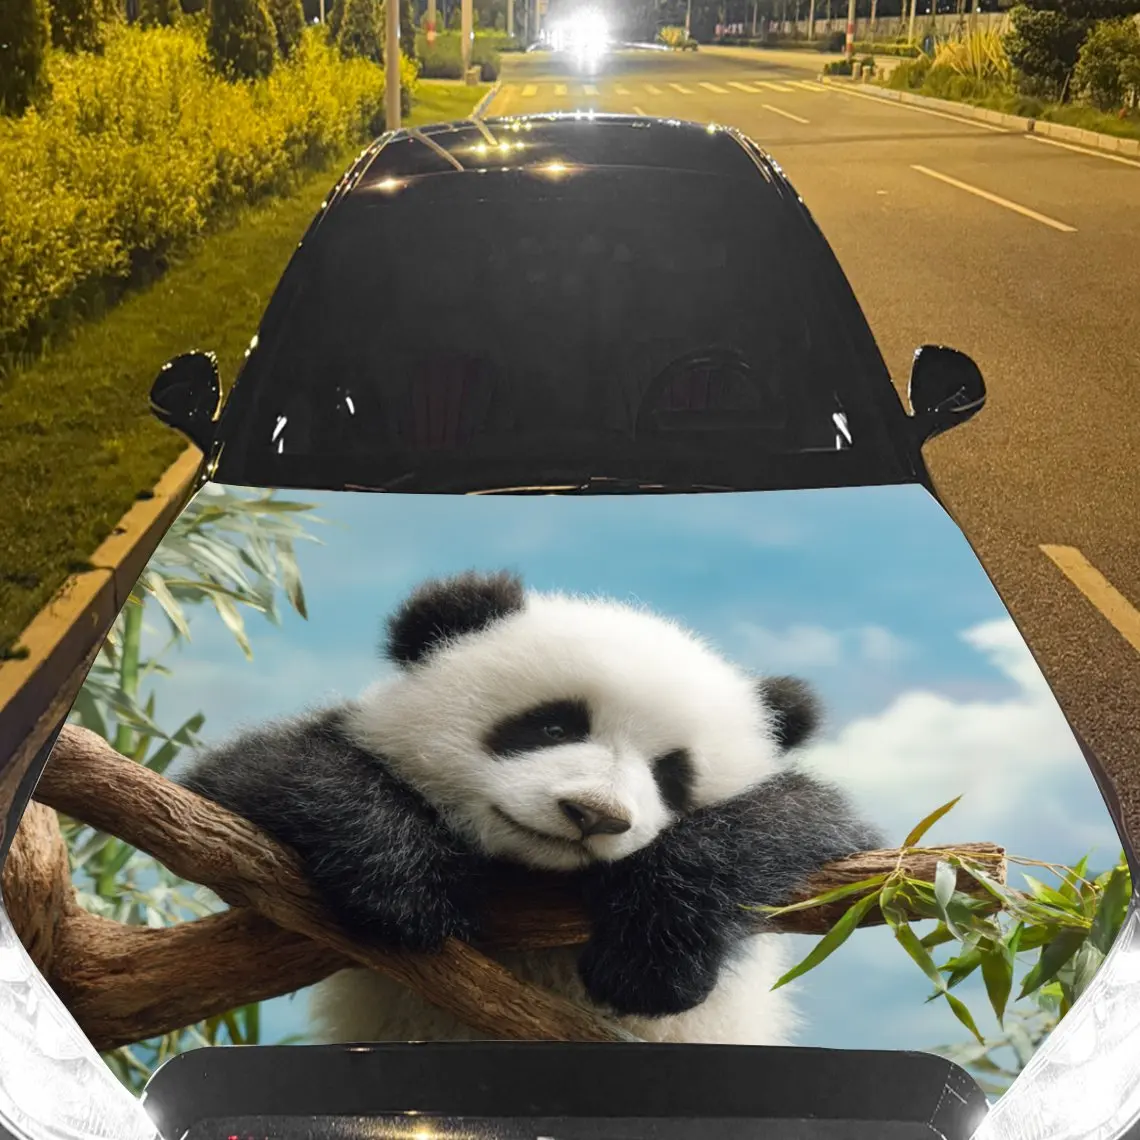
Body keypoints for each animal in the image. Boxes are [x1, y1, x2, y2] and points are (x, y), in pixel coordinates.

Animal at [176, 569, 883, 1046]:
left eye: (672, 775)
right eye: (551, 725)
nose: (595, 814)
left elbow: (803, 824)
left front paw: (650, 958)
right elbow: (264, 774)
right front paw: (409, 889)